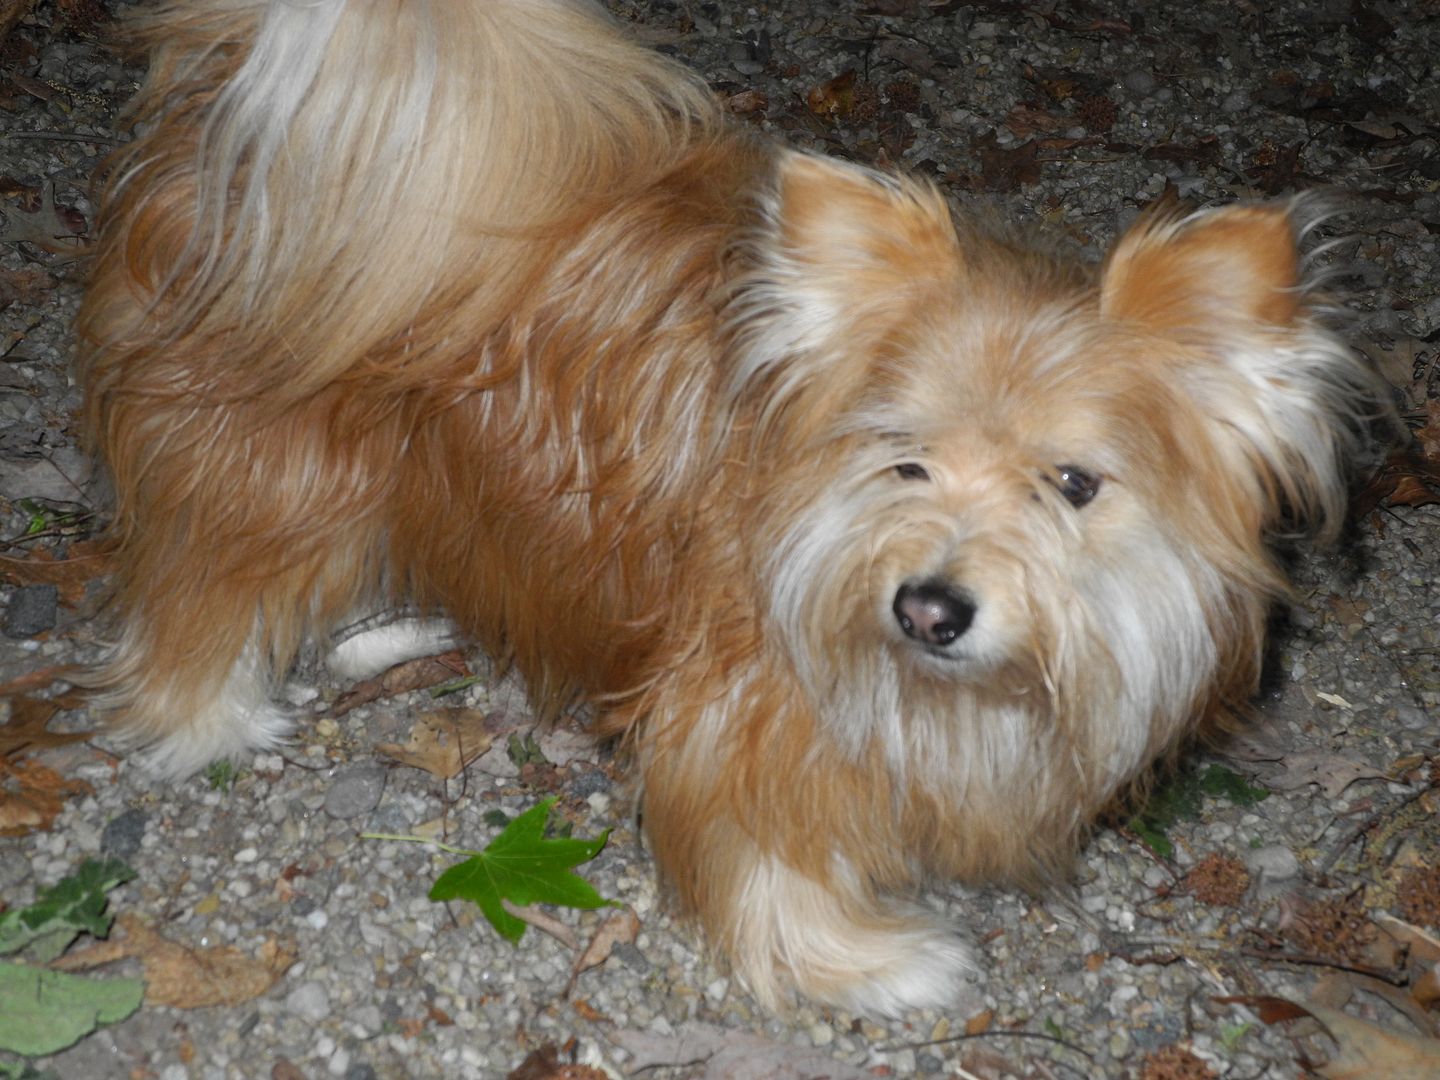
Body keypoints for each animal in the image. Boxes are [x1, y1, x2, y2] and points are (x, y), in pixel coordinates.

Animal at [75, 0, 1370, 1019]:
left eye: (1074, 483)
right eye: (903, 462)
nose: (930, 608)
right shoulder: (741, 709)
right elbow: (767, 858)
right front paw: (864, 965)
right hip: (270, 466)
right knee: (195, 588)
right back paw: (209, 721)